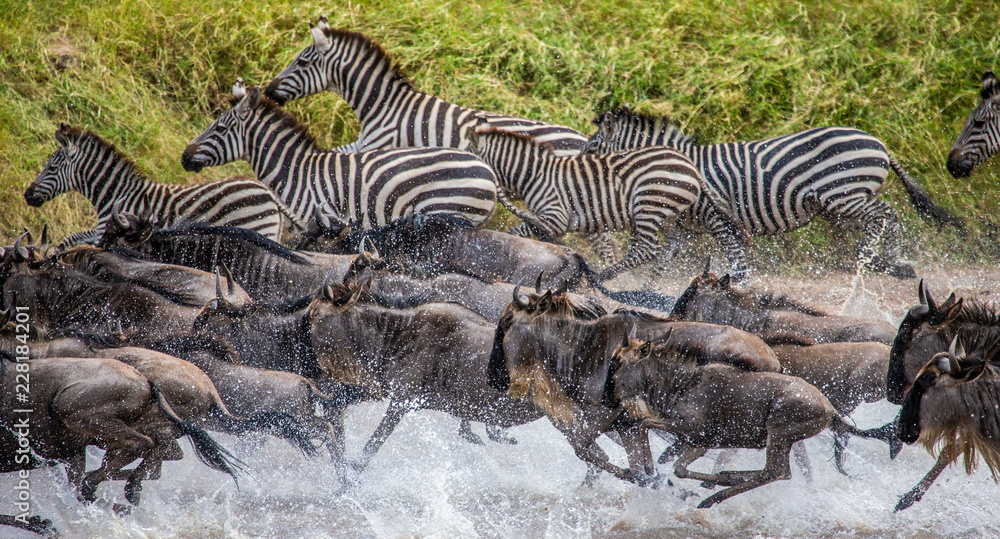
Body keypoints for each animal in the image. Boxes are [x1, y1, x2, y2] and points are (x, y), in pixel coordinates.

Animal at [25, 122, 292, 247]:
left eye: (51, 168)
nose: (27, 195)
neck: (115, 194)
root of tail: (269, 194)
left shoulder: (109, 227)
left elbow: (74, 239)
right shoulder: (103, 229)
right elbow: (73, 237)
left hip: (256, 228)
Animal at [181, 80, 500, 230]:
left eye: (220, 128)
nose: (184, 156)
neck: (298, 172)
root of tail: (487, 171)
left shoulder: (322, 219)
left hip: (446, 208)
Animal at [266, 16, 588, 156]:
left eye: (301, 63)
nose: (268, 91)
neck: (382, 106)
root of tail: (583, 138)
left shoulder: (379, 146)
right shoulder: (363, 143)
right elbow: (334, 155)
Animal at [464, 124, 700, 280]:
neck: (534, 175)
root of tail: (691, 166)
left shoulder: (555, 217)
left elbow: (517, 232)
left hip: (648, 206)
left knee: (645, 251)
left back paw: (601, 277)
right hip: (669, 218)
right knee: (665, 251)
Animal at [584, 107, 960, 280]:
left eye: (591, 149)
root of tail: (879, 142)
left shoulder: (716, 218)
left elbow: (734, 256)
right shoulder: (686, 230)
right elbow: (662, 263)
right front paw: (651, 289)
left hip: (844, 193)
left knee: (886, 214)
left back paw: (881, 259)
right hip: (844, 205)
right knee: (880, 219)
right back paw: (885, 262)